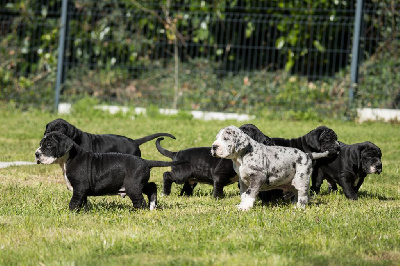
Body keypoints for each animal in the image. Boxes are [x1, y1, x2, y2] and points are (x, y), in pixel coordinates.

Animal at [36, 132, 183, 211]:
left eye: (49, 145)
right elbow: (82, 202)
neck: (69, 157)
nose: (36, 154)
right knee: (151, 187)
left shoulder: (79, 188)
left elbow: (74, 202)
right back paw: (152, 206)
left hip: (133, 187)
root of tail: (145, 161)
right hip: (138, 183)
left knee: (140, 202)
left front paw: (70, 212)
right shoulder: (82, 191)